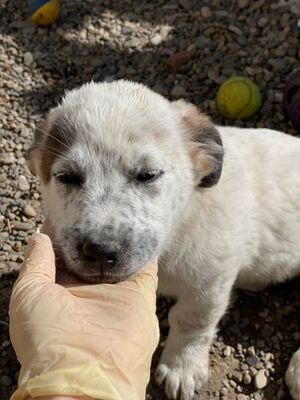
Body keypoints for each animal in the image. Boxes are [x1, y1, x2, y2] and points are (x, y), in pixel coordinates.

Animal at [28, 79, 300, 398]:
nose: (100, 252)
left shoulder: (209, 283)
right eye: (67, 177)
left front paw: (182, 367)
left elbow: (190, 322)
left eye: (148, 175)